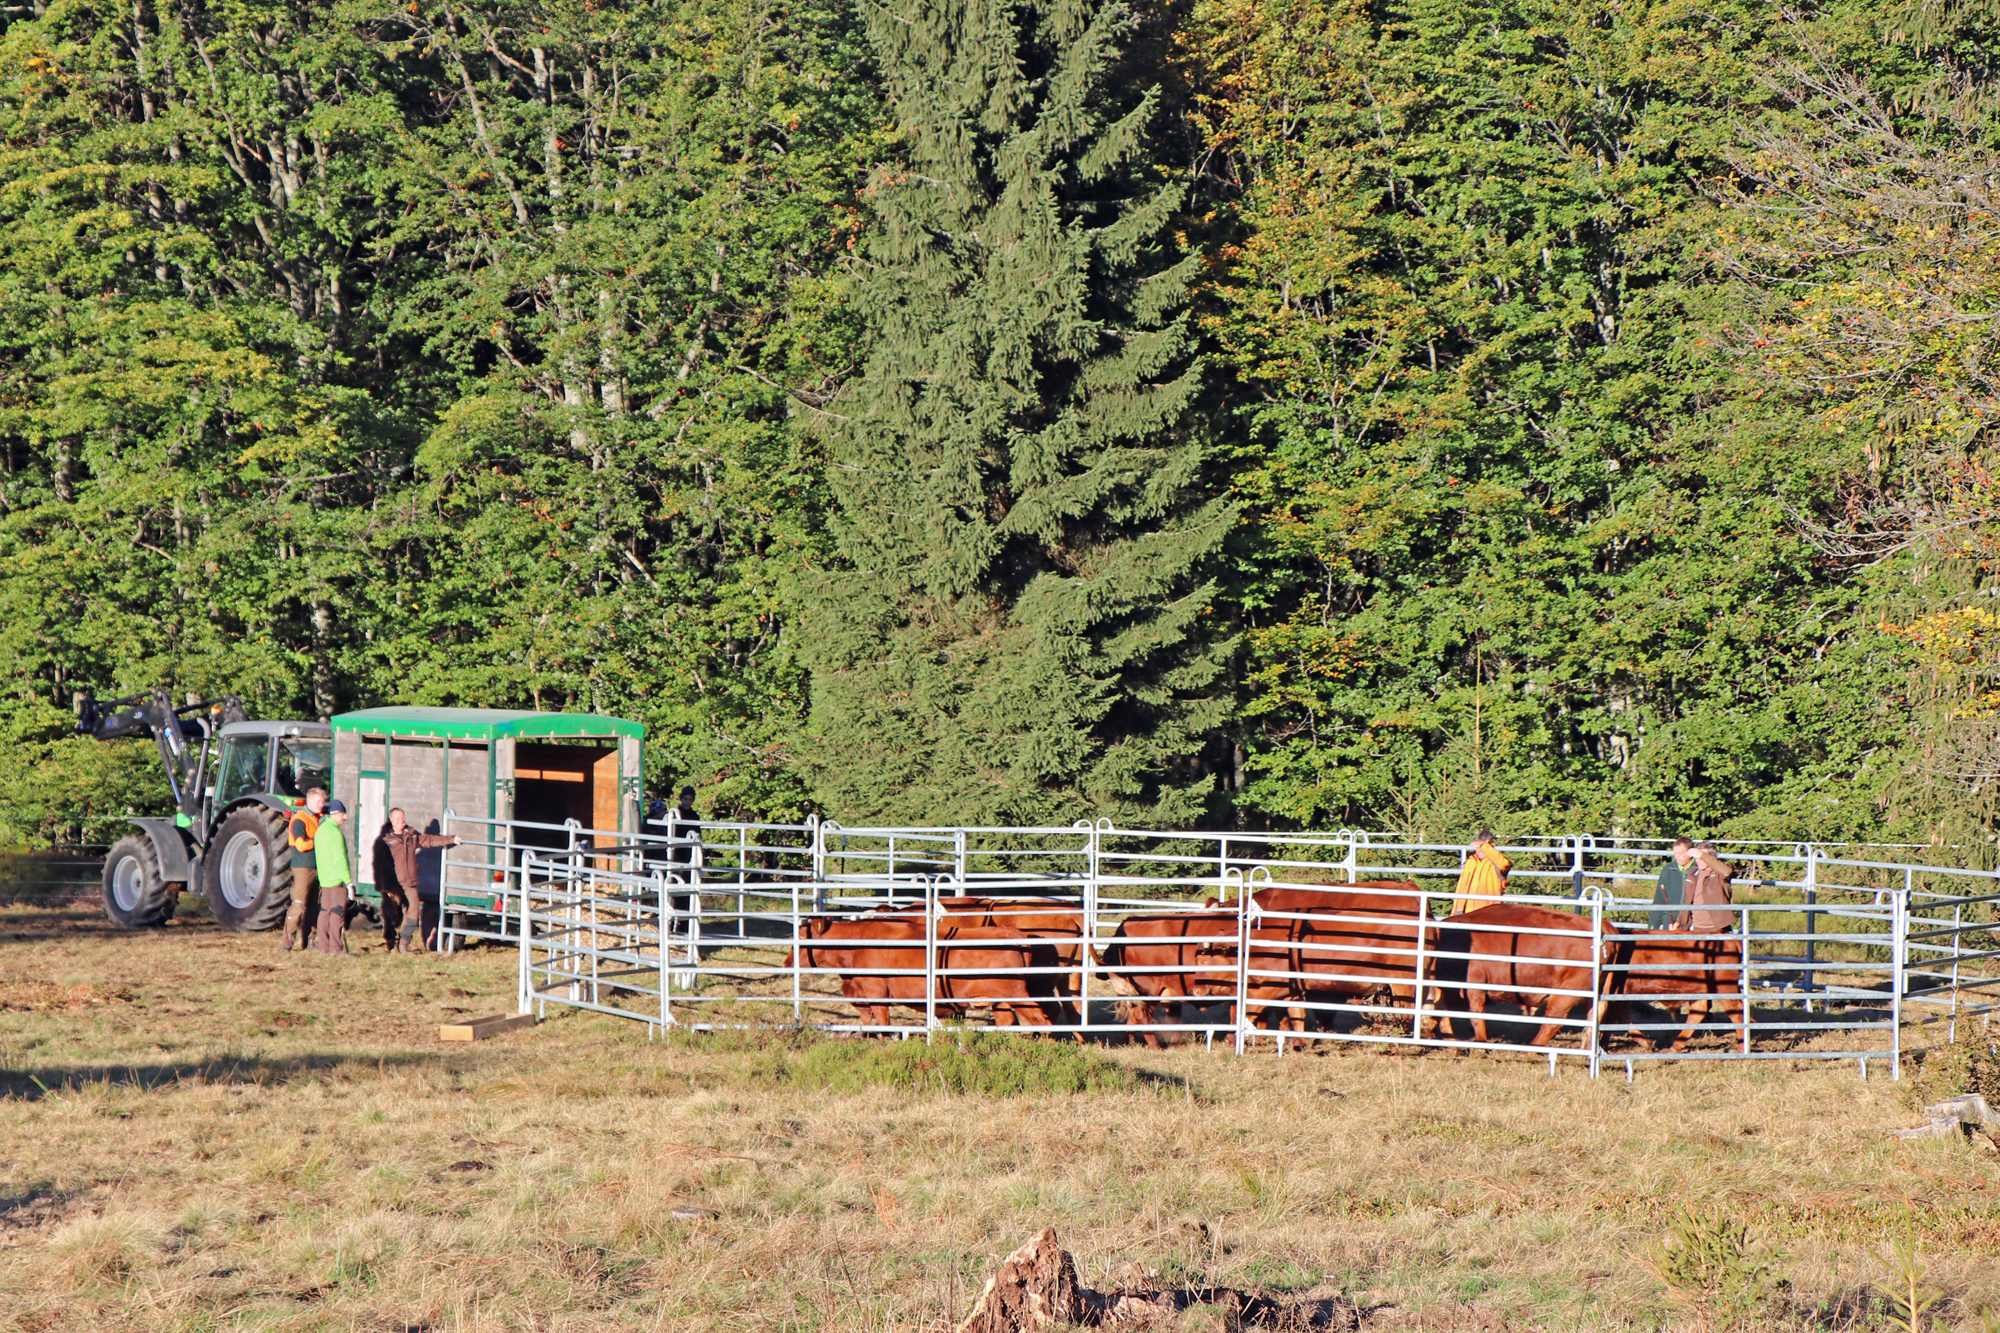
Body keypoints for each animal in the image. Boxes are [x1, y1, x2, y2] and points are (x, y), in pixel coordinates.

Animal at [788, 912, 1064, 1024]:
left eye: (800, 937)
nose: (786, 962)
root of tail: (1013, 934)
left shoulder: (877, 995)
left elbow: (884, 1027)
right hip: (999, 1001)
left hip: (1017, 996)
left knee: (1042, 1019)